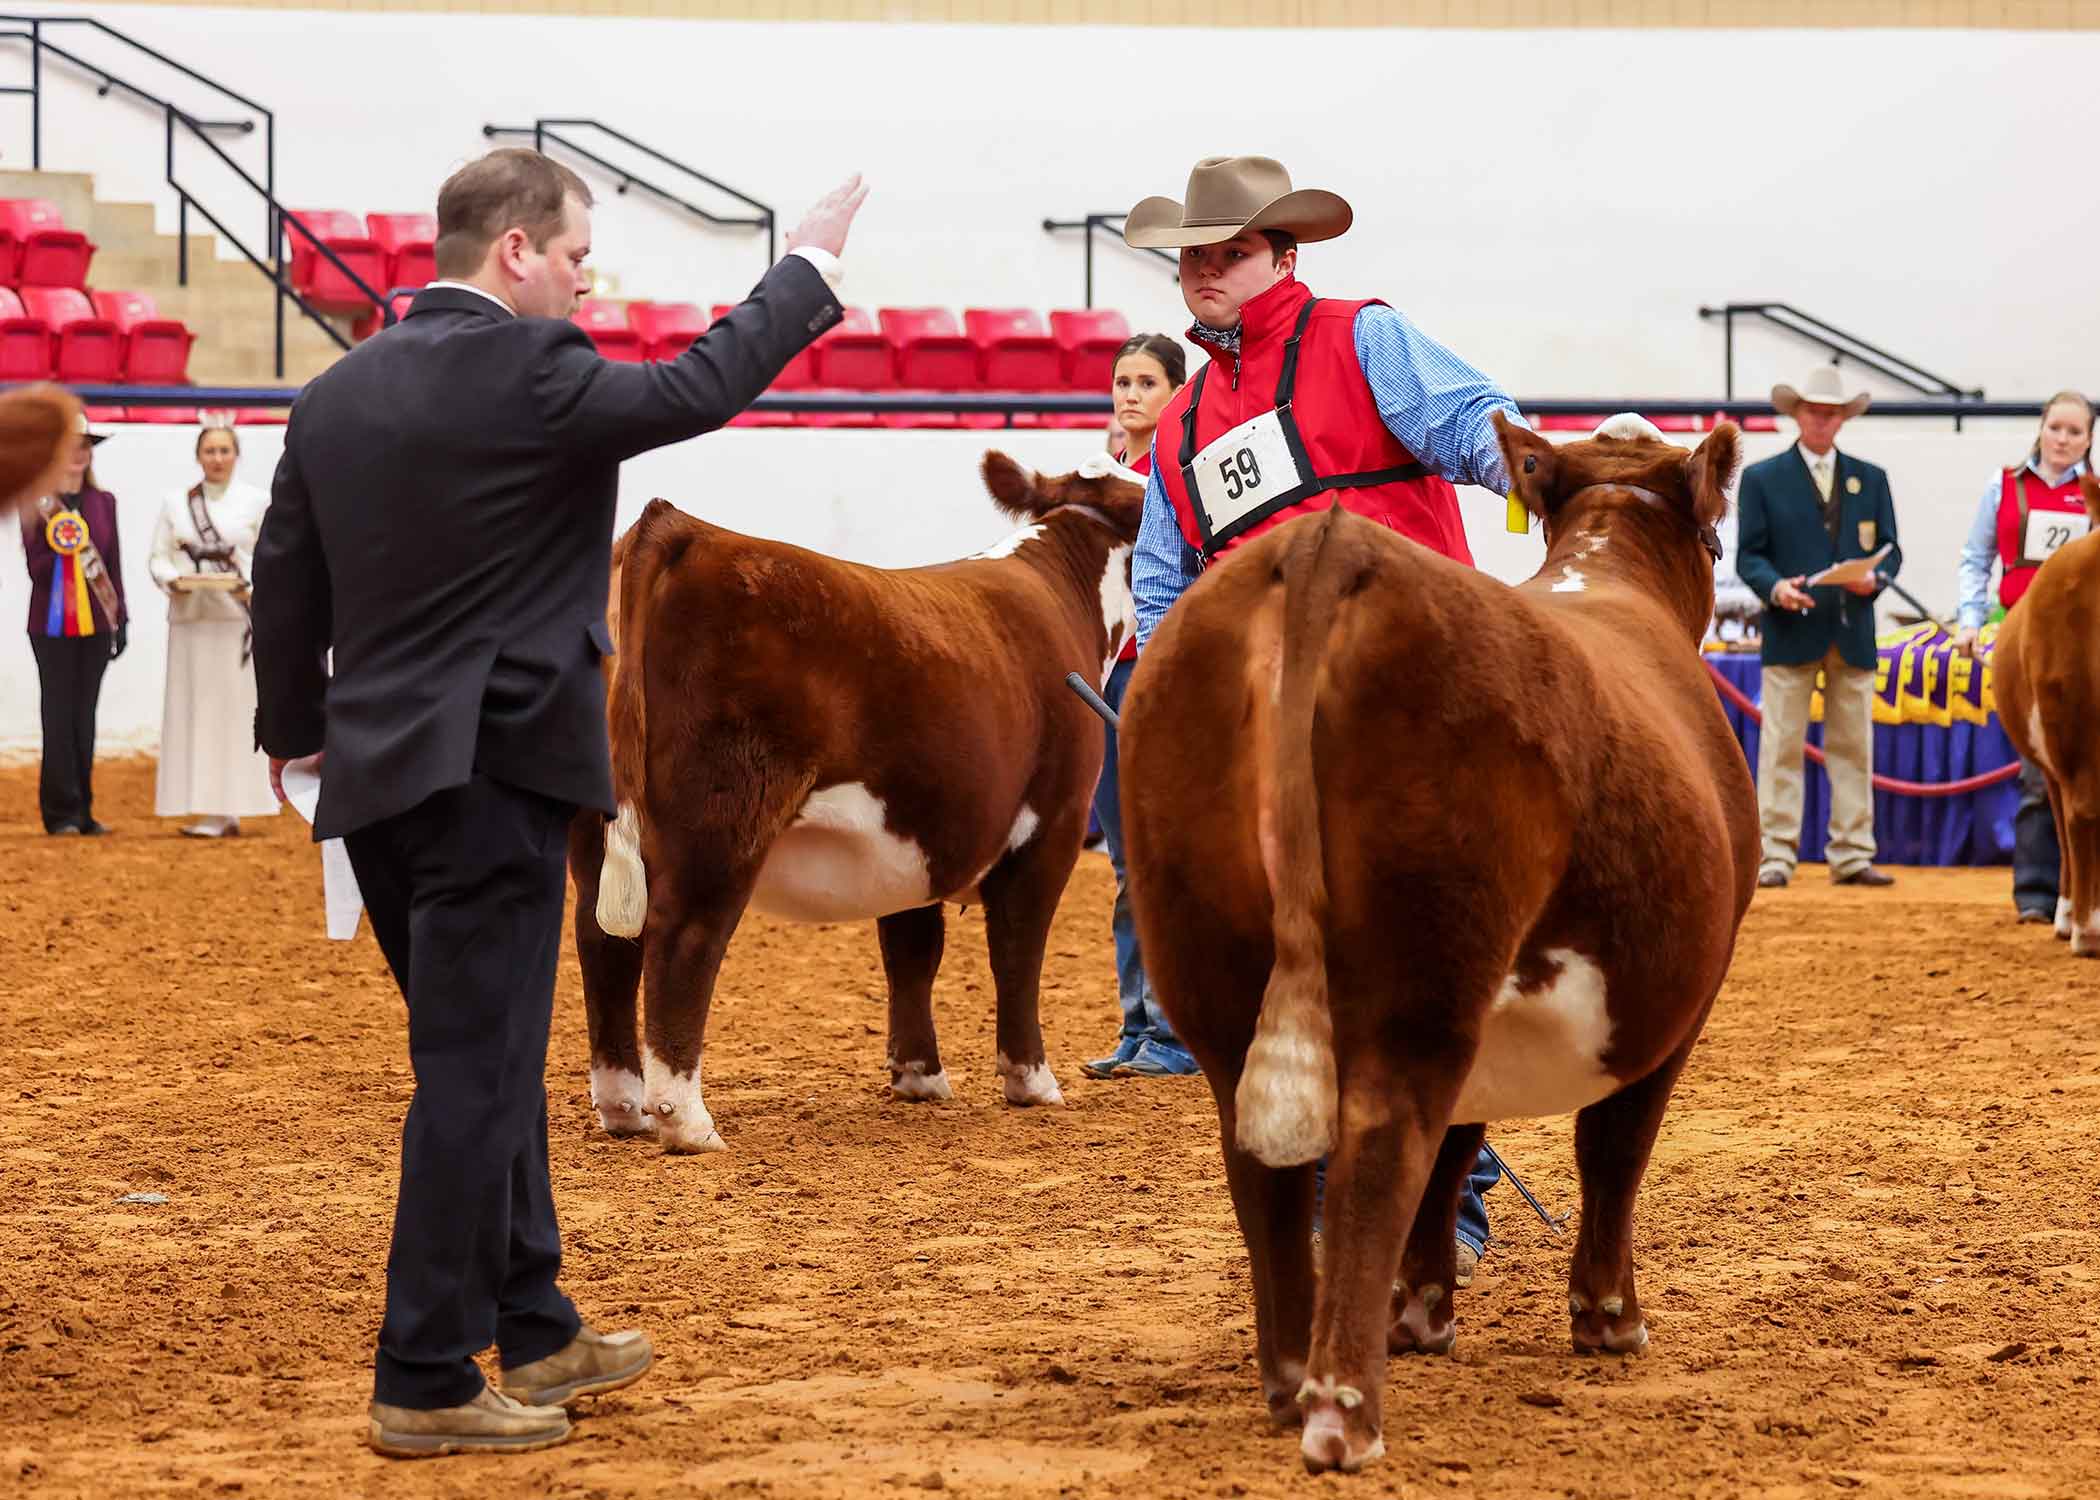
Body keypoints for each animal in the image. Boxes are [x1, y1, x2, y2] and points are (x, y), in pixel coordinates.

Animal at [567, 449, 1142, 1151]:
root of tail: (681, 527)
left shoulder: (916, 832)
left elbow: (912, 951)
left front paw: (920, 1076)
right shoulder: (1052, 825)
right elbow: (1018, 952)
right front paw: (1032, 1082)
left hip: (598, 829)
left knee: (602, 940)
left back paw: (623, 1106)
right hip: (720, 823)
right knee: (681, 937)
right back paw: (686, 1120)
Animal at [1125, 411, 1763, 1470]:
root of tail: (1330, 548)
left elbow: (1465, 1143)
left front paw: (1424, 1310)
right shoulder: (1680, 999)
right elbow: (1612, 1147)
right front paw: (1609, 1318)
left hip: (1212, 959)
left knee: (1261, 1158)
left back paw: (1290, 1376)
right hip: (1426, 965)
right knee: (1386, 1139)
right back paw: (1343, 1409)